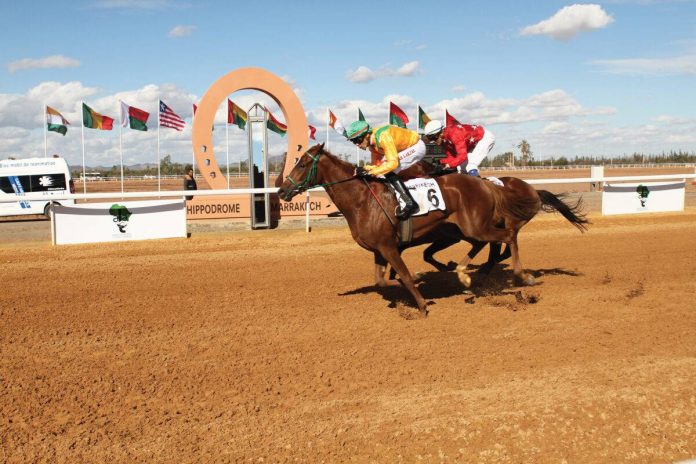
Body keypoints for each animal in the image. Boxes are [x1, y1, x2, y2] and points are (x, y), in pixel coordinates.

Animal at [278, 147, 588, 318]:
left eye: (303, 163)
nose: (282, 190)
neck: (362, 199)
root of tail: (489, 185)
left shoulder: (390, 247)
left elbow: (403, 275)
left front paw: (422, 305)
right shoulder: (380, 249)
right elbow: (382, 281)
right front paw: (421, 283)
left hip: (476, 227)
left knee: (508, 238)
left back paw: (521, 277)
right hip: (471, 229)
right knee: (495, 244)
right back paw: (471, 274)